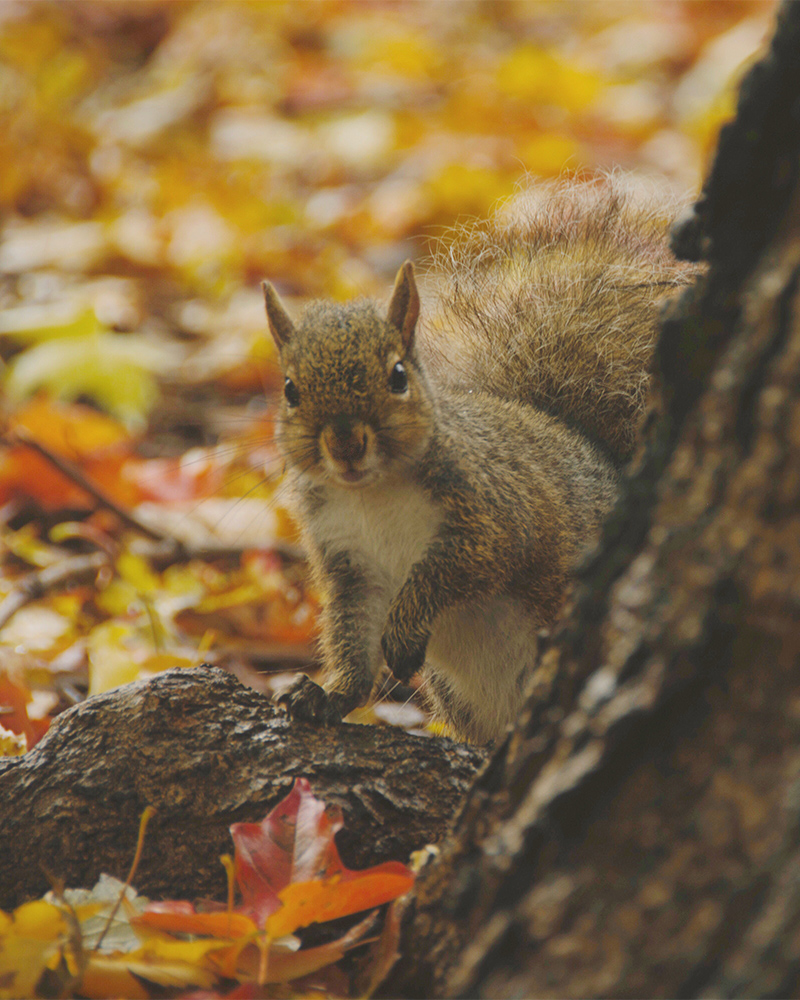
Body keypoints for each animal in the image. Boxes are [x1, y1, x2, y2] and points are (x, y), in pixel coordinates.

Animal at [264, 176, 700, 748]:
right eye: (290, 389)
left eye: (398, 376)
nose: (345, 444)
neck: (371, 494)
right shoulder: (347, 557)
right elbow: (352, 635)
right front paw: (328, 695)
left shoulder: (493, 512)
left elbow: (457, 567)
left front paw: (402, 631)